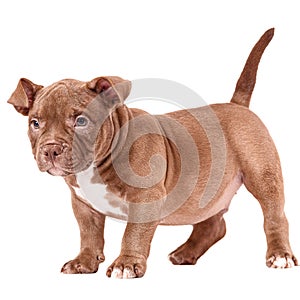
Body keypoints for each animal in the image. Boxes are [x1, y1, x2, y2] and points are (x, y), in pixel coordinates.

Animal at [7, 28, 298, 278]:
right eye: (35, 123)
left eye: (81, 121)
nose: (51, 149)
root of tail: (237, 105)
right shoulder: (82, 204)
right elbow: (89, 234)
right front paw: (84, 262)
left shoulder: (146, 198)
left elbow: (133, 233)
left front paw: (126, 264)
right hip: (207, 193)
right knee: (213, 224)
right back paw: (186, 253)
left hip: (262, 176)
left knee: (274, 215)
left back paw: (280, 255)